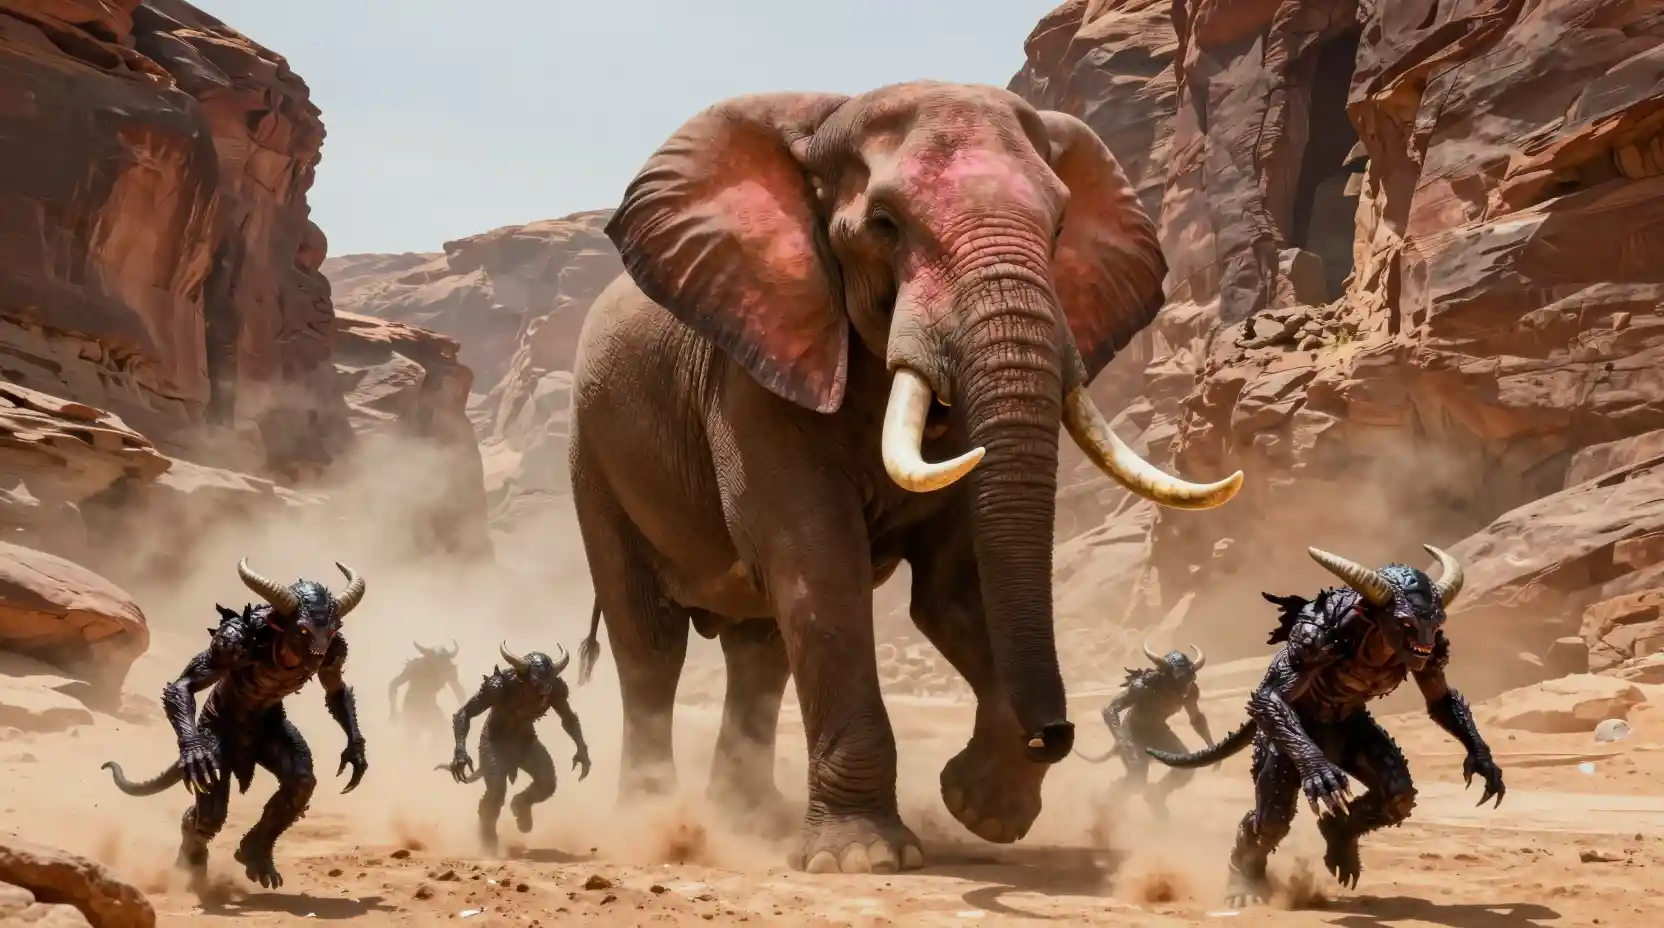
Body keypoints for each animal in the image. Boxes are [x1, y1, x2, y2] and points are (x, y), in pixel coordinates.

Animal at [567, 80, 1243, 875]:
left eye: (1057, 227)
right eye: (885, 226)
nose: (1056, 734)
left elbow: (956, 587)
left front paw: (983, 809)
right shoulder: (753, 371)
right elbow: (820, 566)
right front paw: (862, 859)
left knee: (760, 650)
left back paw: (750, 819)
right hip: (594, 457)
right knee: (649, 640)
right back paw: (655, 823)